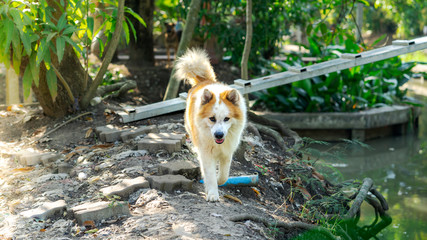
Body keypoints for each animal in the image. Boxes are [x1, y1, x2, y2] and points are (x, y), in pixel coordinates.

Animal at [175, 48, 247, 201]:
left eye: (226, 119)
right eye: (212, 119)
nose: (219, 134)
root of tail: (205, 81)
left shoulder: (227, 153)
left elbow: (224, 175)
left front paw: (219, 182)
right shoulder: (206, 154)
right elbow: (210, 175)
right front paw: (213, 193)